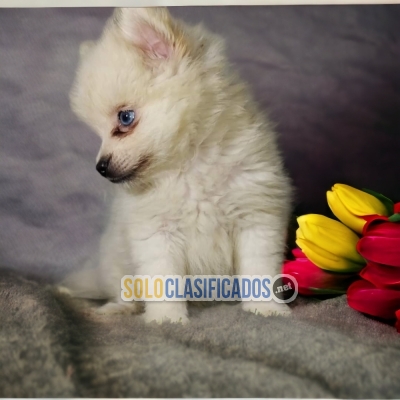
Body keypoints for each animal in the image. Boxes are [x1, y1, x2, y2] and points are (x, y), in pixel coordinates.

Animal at [65, 7, 292, 324]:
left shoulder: (256, 216)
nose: (101, 167)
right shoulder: (156, 232)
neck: (189, 165)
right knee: (121, 289)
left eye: (125, 118)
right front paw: (166, 318)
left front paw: (266, 308)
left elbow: (259, 269)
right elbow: (163, 279)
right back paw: (118, 308)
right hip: (115, 259)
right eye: (97, 133)